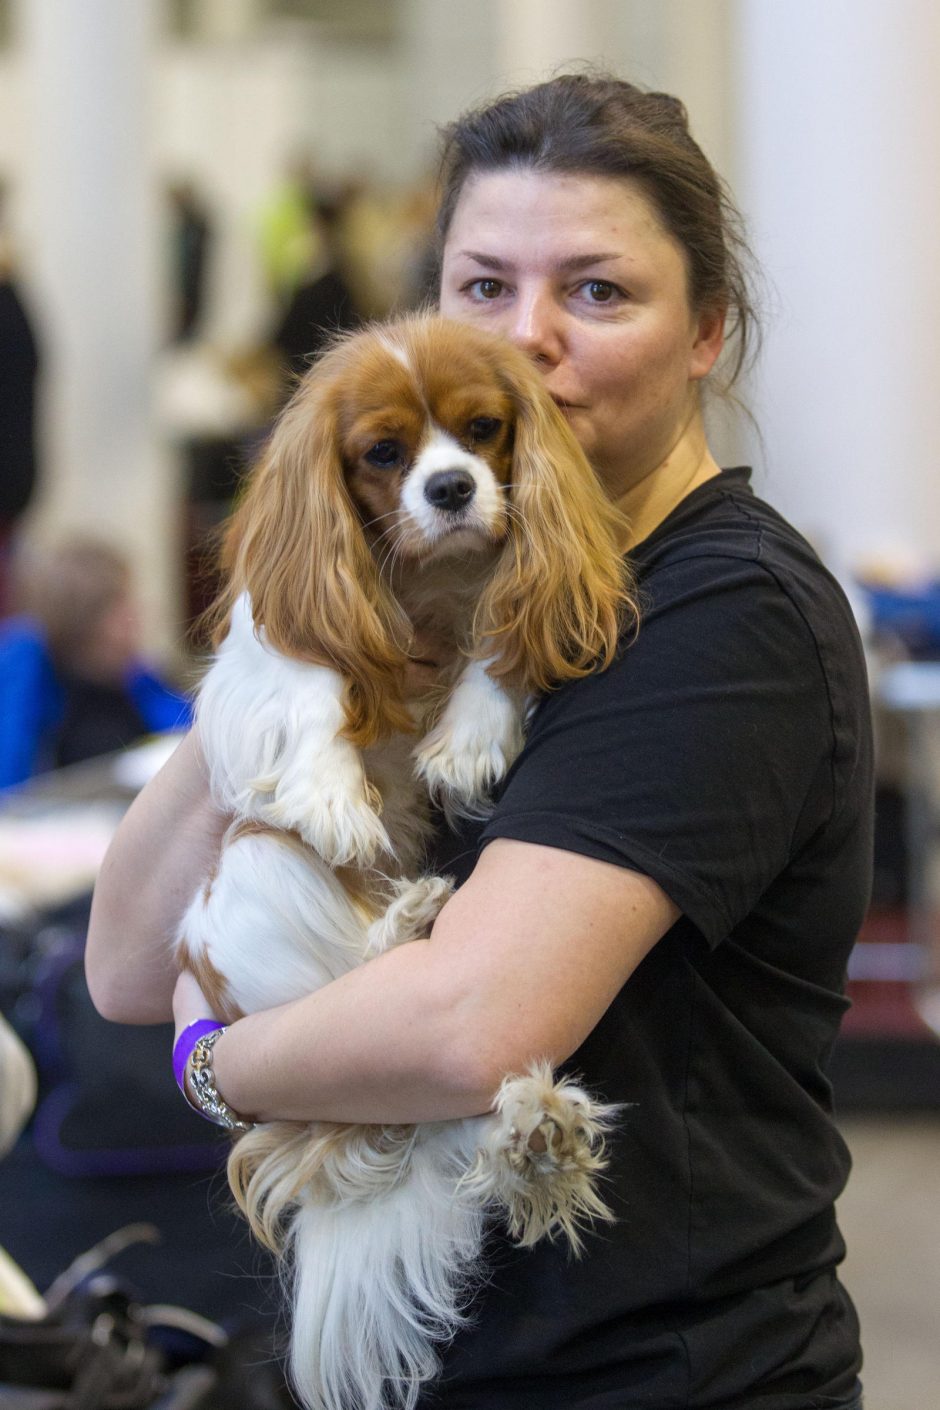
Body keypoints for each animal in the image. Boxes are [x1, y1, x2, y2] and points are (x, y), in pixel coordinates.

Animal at [176, 317, 639, 1410]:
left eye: (482, 430)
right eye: (382, 453)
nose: (453, 489)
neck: (429, 583)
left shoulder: (520, 596)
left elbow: (501, 641)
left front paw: (466, 735)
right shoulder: (271, 635)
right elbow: (308, 674)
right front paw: (333, 793)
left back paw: (532, 1133)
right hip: (250, 875)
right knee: (360, 1013)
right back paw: (409, 925)